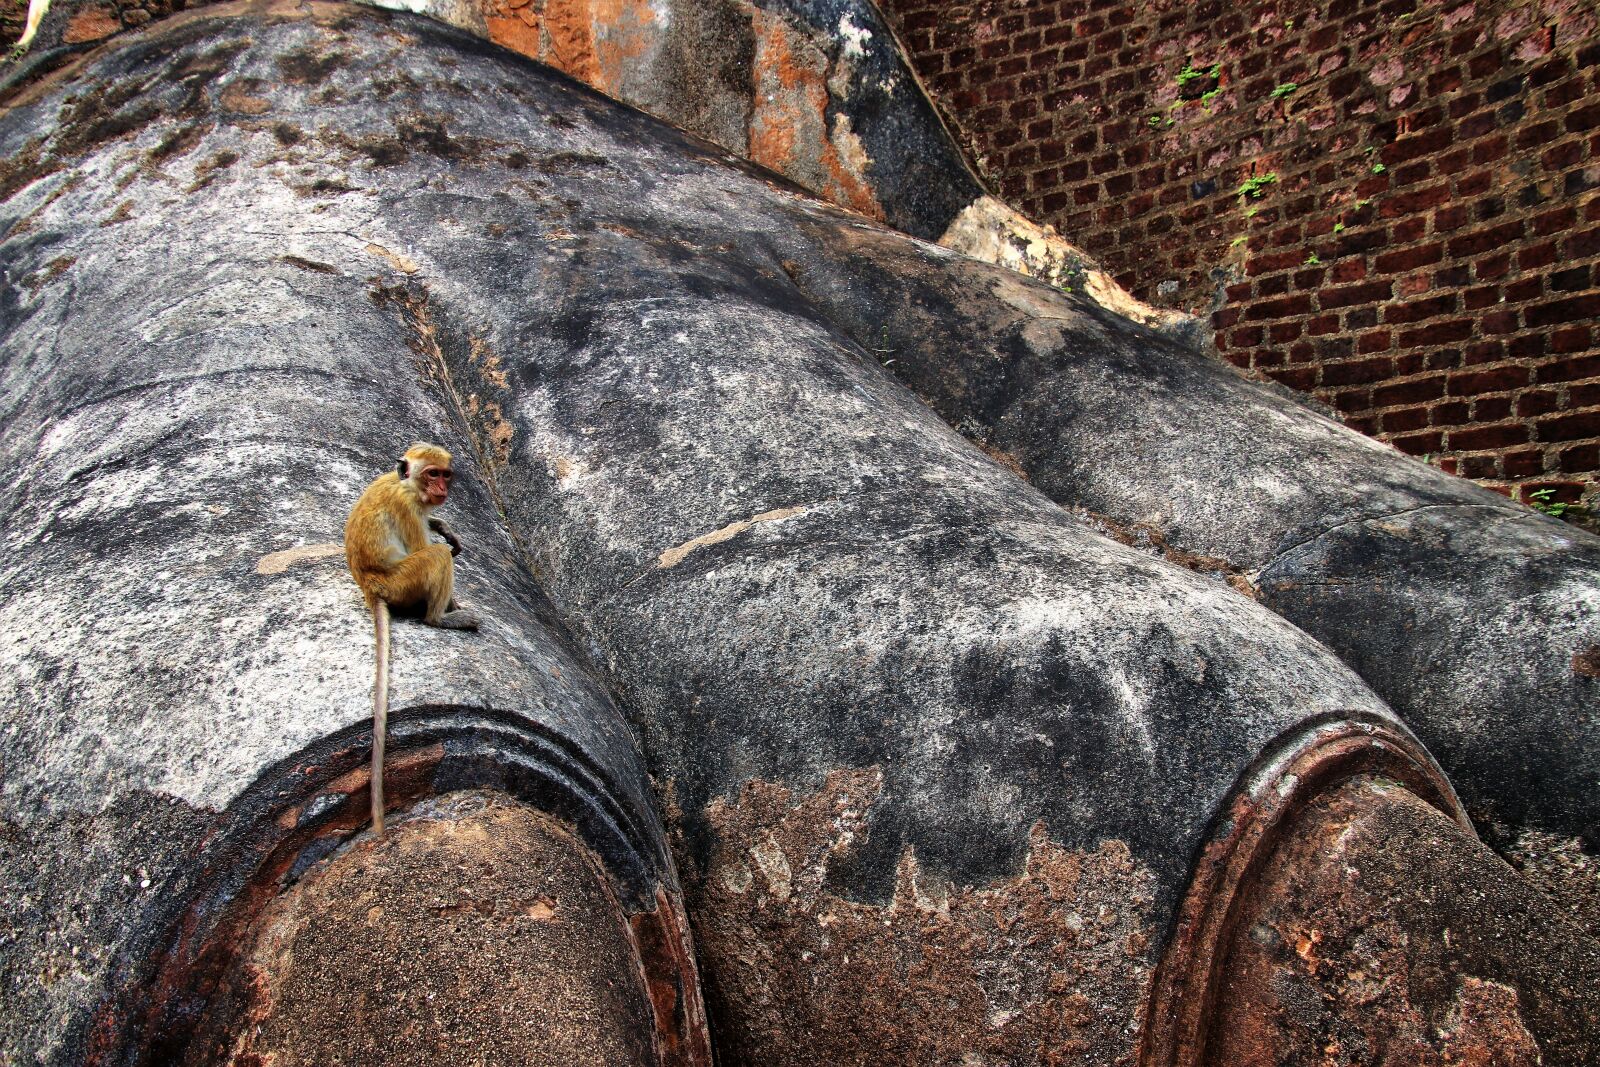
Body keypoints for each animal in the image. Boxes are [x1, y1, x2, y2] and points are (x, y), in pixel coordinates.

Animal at [345, 442, 479, 836]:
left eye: (445, 474)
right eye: (431, 474)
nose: (442, 489)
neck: (405, 484)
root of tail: (371, 586)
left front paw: (443, 525)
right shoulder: (406, 506)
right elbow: (424, 545)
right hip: (403, 583)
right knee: (434, 556)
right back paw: (442, 617)